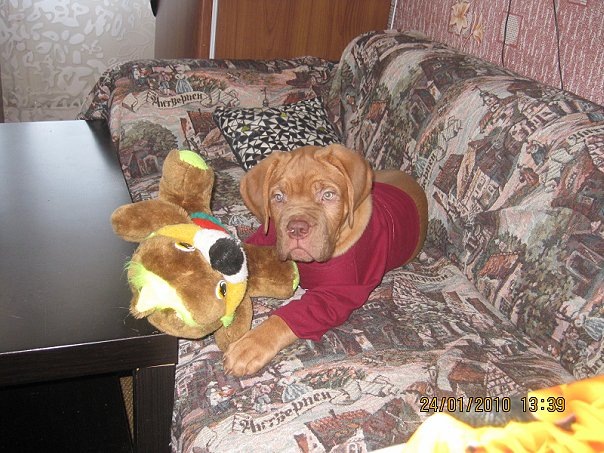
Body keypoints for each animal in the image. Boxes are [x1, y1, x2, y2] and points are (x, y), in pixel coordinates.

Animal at [223, 144, 428, 376]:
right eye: (278, 197)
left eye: (328, 195)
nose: (297, 229)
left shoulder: (335, 296)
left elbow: (290, 317)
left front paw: (251, 344)